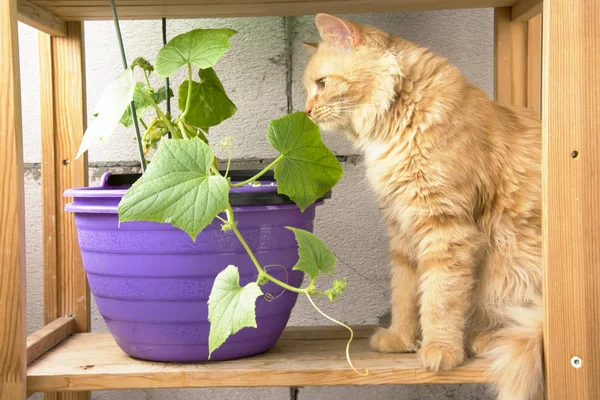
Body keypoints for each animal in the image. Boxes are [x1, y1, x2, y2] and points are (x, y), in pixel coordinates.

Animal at [304, 14, 544, 398]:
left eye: (322, 84)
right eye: (309, 89)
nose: (307, 111)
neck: (395, 126)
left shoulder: (445, 225)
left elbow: (439, 298)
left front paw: (440, 349)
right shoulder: (401, 229)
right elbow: (405, 294)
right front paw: (401, 339)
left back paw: (483, 339)